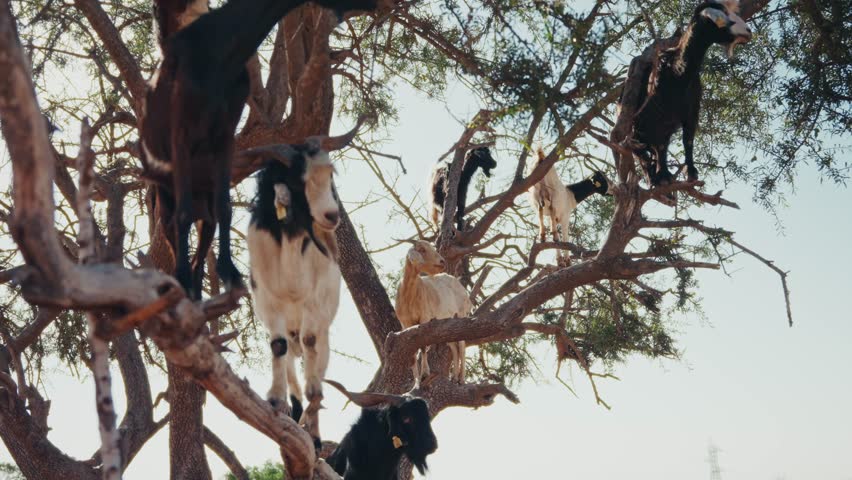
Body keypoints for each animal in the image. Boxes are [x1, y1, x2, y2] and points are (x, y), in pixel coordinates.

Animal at [141, 0, 374, 298]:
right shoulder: (180, 133)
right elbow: (182, 216)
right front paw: (182, 277)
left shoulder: (225, 135)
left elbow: (225, 207)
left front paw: (230, 273)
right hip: (165, 192)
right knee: (173, 225)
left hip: (204, 204)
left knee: (202, 247)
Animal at [394, 240, 470, 386]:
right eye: (422, 250)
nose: (442, 262)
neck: (409, 296)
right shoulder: (405, 324)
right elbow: (413, 352)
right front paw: (416, 380)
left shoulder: (424, 318)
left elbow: (423, 347)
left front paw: (425, 374)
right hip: (448, 320)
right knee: (454, 347)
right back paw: (454, 377)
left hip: (462, 313)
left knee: (462, 347)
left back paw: (462, 379)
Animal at [624, 0, 752, 187]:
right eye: (725, 18)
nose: (748, 31)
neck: (678, 74)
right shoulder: (659, 117)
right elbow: (661, 147)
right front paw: (663, 175)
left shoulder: (691, 113)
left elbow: (688, 140)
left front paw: (691, 172)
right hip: (638, 128)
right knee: (642, 151)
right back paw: (653, 176)